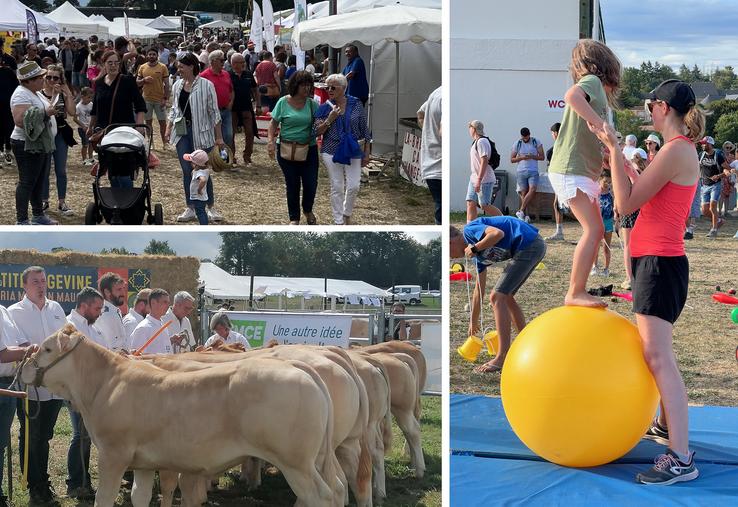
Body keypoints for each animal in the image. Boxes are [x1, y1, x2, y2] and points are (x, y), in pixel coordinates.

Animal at [19, 328, 336, 507]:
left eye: (47, 348)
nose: (24, 367)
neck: (104, 385)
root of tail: (297, 367)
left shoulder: (113, 454)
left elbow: (104, 499)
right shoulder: (144, 463)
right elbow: (139, 497)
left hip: (295, 462)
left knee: (322, 497)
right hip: (314, 460)